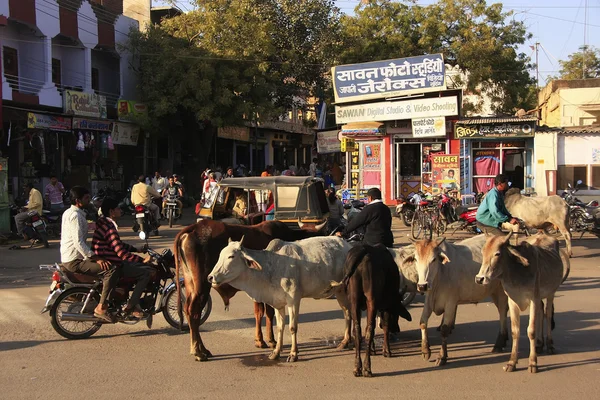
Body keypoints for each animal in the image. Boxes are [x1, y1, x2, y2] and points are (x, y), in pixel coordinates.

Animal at [173, 220, 324, 360]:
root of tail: (192, 229)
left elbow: (259, 313)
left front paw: (260, 340)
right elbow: (269, 313)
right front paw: (271, 340)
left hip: (190, 283)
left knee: (188, 310)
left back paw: (201, 349)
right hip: (202, 286)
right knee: (194, 313)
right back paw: (198, 352)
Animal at [209, 236, 354, 360]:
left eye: (231, 256)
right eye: (220, 255)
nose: (211, 277)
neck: (271, 266)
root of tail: (348, 245)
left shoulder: (294, 300)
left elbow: (292, 327)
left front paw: (293, 354)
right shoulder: (278, 304)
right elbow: (279, 327)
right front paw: (276, 352)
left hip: (344, 291)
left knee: (349, 313)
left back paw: (348, 340)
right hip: (339, 291)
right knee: (347, 313)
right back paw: (347, 341)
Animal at [406, 236, 508, 368]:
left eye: (433, 259)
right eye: (416, 259)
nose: (422, 286)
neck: (440, 273)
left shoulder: (450, 302)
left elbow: (444, 330)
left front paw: (442, 357)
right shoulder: (428, 301)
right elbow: (423, 322)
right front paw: (425, 350)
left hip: (501, 291)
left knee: (502, 312)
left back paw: (499, 343)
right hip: (494, 292)